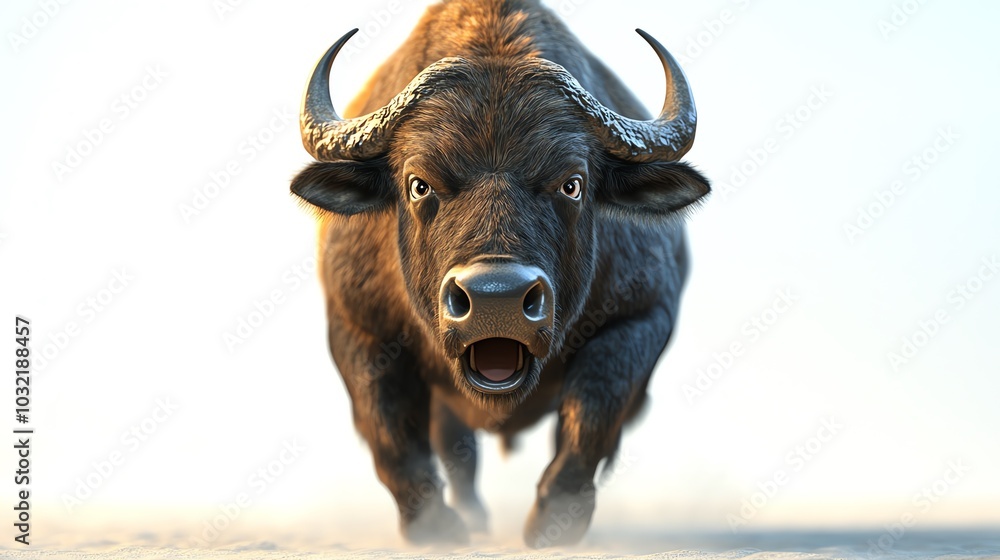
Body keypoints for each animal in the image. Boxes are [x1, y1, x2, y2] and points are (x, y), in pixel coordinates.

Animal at [291, 0, 709, 547]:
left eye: (572, 183)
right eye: (418, 183)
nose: (497, 301)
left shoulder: (640, 316)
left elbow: (593, 413)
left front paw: (555, 522)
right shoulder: (357, 326)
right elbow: (392, 434)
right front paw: (437, 529)